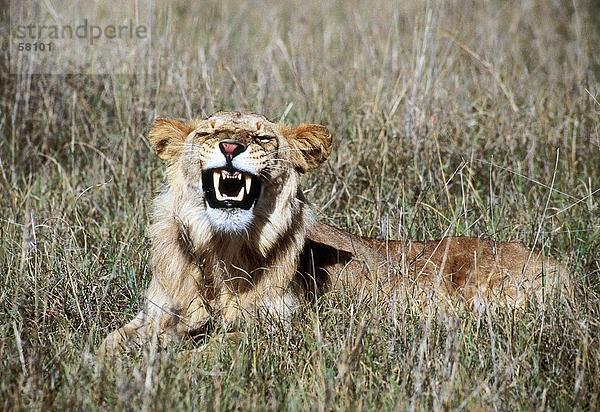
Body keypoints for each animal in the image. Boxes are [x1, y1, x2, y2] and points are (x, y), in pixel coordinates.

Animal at [101, 111, 568, 352]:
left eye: (263, 138)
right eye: (209, 132)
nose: (231, 147)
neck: (221, 250)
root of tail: (562, 268)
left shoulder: (284, 326)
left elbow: (217, 345)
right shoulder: (154, 315)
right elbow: (107, 344)